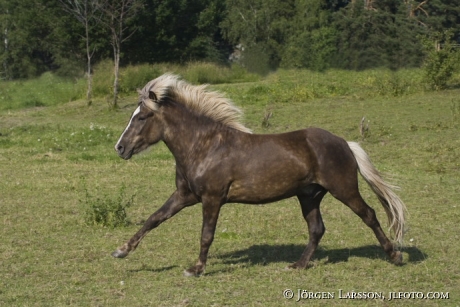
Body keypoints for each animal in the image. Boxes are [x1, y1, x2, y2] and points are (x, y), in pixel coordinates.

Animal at [111, 74, 406, 276]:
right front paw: (121, 251)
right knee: (317, 229)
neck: (204, 146)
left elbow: (206, 234)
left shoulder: (212, 198)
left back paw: (395, 255)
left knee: (369, 215)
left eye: (142, 117)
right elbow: (154, 219)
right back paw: (298, 265)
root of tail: (345, 143)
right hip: (309, 196)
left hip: (343, 189)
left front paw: (196, 269)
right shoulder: (185, 195)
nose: (120, 148)